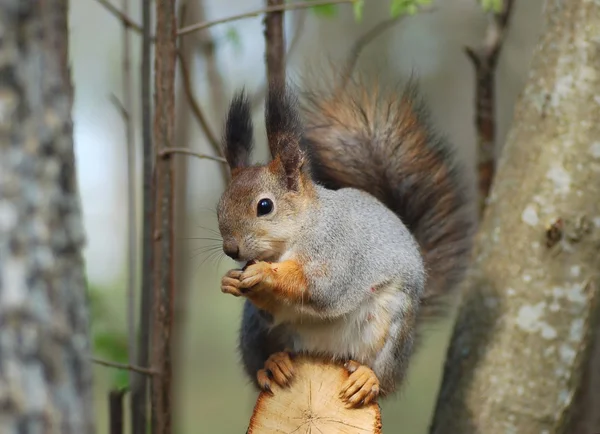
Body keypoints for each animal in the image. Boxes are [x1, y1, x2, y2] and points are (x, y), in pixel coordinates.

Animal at [218, 73, 476, 408]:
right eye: (220, 205)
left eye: (265, 206)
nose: (230, 249)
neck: (297, 234)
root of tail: (325, 354)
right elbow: (270, 308)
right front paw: (230, 280)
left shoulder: (337, 252)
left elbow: (319, 287)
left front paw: (264, 273)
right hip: (254, 332)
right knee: (261, 360)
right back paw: (273, 364)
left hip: (394, 325)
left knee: (384, 380)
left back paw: (368, 379)